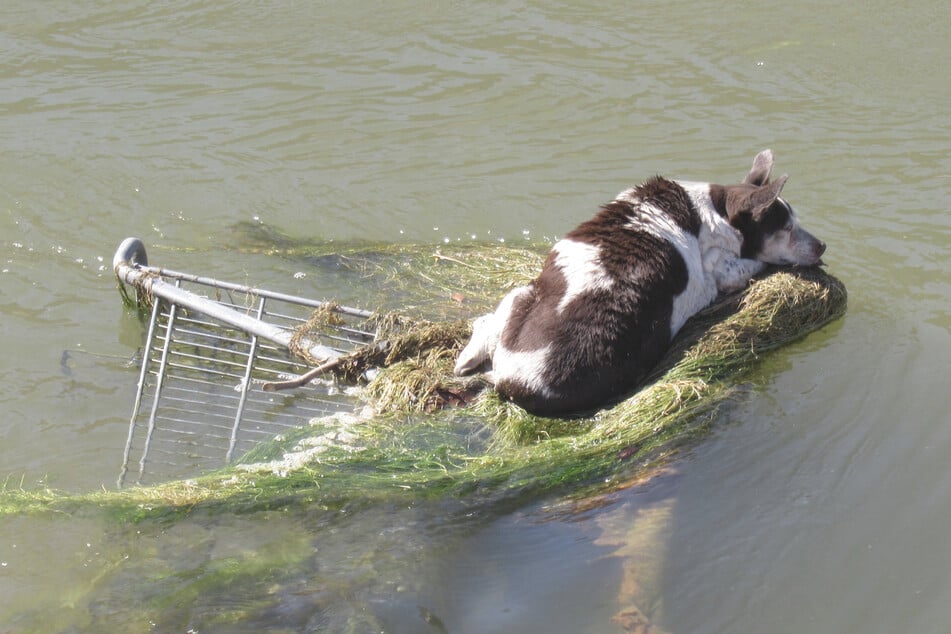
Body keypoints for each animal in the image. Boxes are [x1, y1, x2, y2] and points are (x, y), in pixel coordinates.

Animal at [454, 148, 824, 414]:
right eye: (786, 228)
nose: (823, 246)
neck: (714, 213)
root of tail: (512, 382)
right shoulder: (724, 270)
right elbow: (749, 263)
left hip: (523, 293)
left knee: (487, 321)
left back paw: (466, 359)